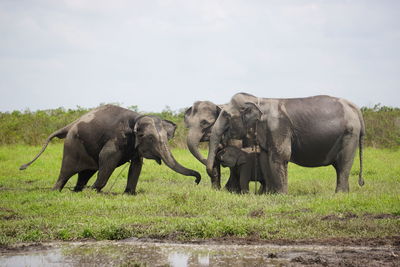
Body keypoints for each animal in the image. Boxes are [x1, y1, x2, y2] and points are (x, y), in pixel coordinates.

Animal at [19, 104, 200, 195]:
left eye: (168, 138)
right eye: (150, 139)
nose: (197, 181)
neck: (137, 118)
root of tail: (70, 125)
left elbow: (137, 165)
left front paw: (129, 194)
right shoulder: (115, 139)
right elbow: (108, 159)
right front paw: (94, 191)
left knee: (85, 172)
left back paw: (78, 191)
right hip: (72, 145)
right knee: (66, 172)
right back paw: (59, 191)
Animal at [206, 93, 366, 194]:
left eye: (227, 115)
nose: (217, 188)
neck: (259, 100)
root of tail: (356, 108)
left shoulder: (278, 127)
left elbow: (280, 156)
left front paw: (281, 195)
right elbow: (265, 158)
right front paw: (269, 194)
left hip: (349, 135)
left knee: (343, 164)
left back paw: (340, 194)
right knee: (340, 167)